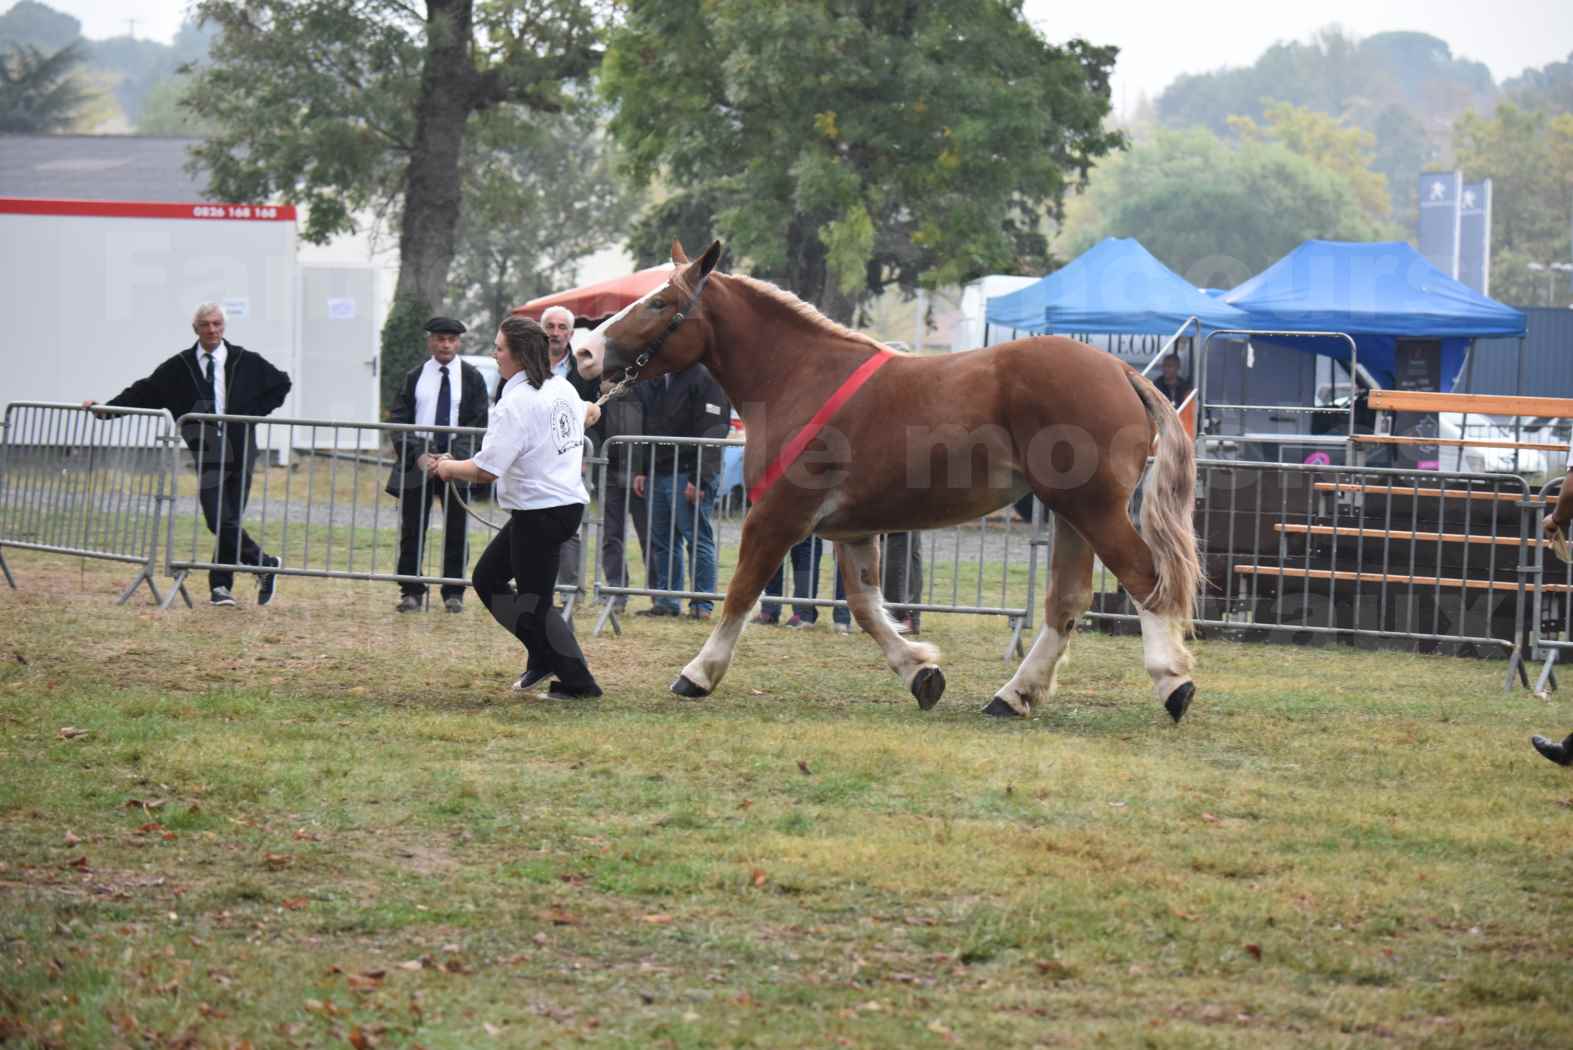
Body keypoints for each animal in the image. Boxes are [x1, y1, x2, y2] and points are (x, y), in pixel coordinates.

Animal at [578, 242, 1201, 723]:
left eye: (659, 302)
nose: (584, 351)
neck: (799, 377)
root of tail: (1118, 368)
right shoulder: (850, 530)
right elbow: (865, 606)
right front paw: (919, 672)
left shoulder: (777, 516)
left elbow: (740, 595)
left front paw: (698, 673)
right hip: (1070, 513)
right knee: (1066, 602)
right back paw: (1013, 695)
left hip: (1094, 509)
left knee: (1144, 579)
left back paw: (1172, 683)